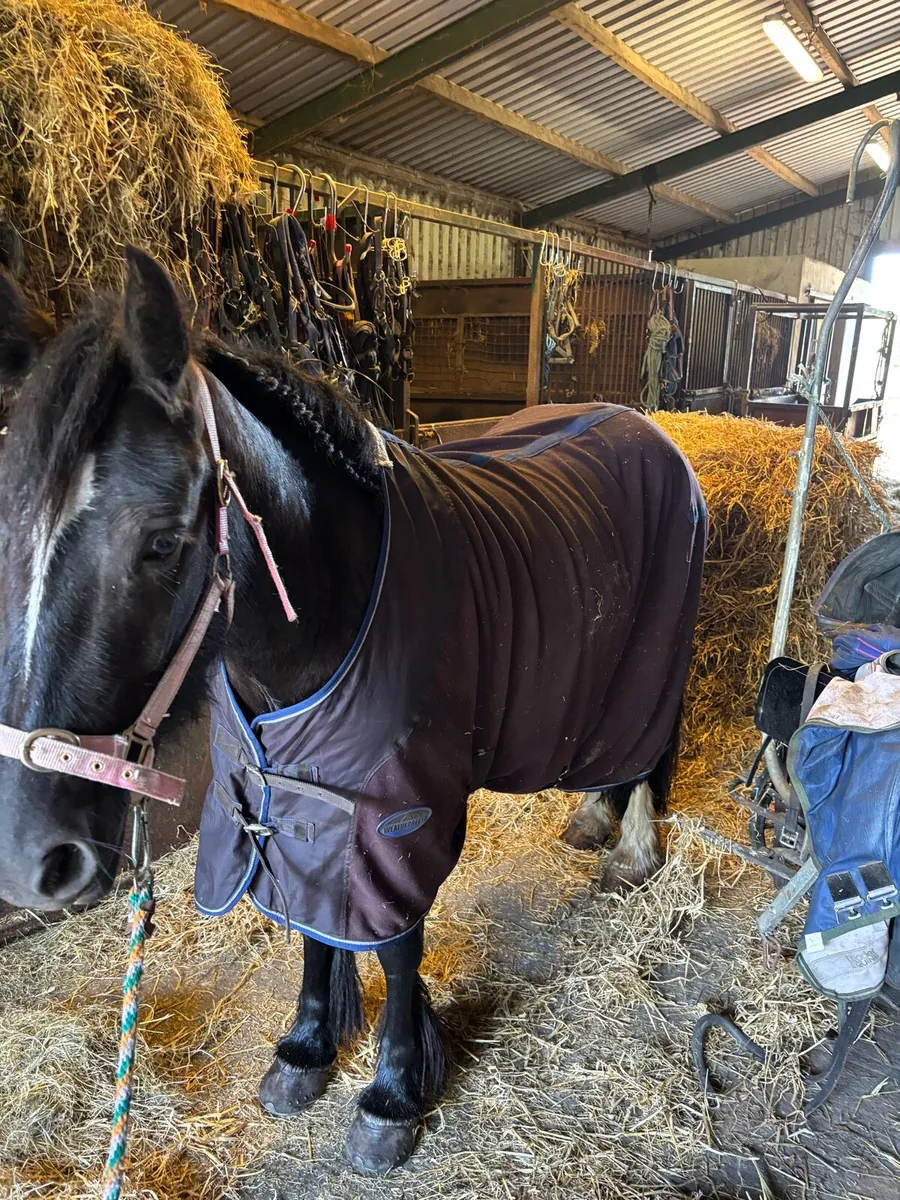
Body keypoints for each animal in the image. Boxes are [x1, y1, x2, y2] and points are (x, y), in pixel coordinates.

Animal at [0, 249, 705, 1173]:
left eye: (160, 542)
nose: (33, 862)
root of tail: (653, 432)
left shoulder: (395, 817)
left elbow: (396, 945)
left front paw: (393, 1095)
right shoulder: (290, 795)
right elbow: (310, 920)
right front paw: (306, 1050)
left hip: (662, 650)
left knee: (655, 747)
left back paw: (631, 852)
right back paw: (590, 818)